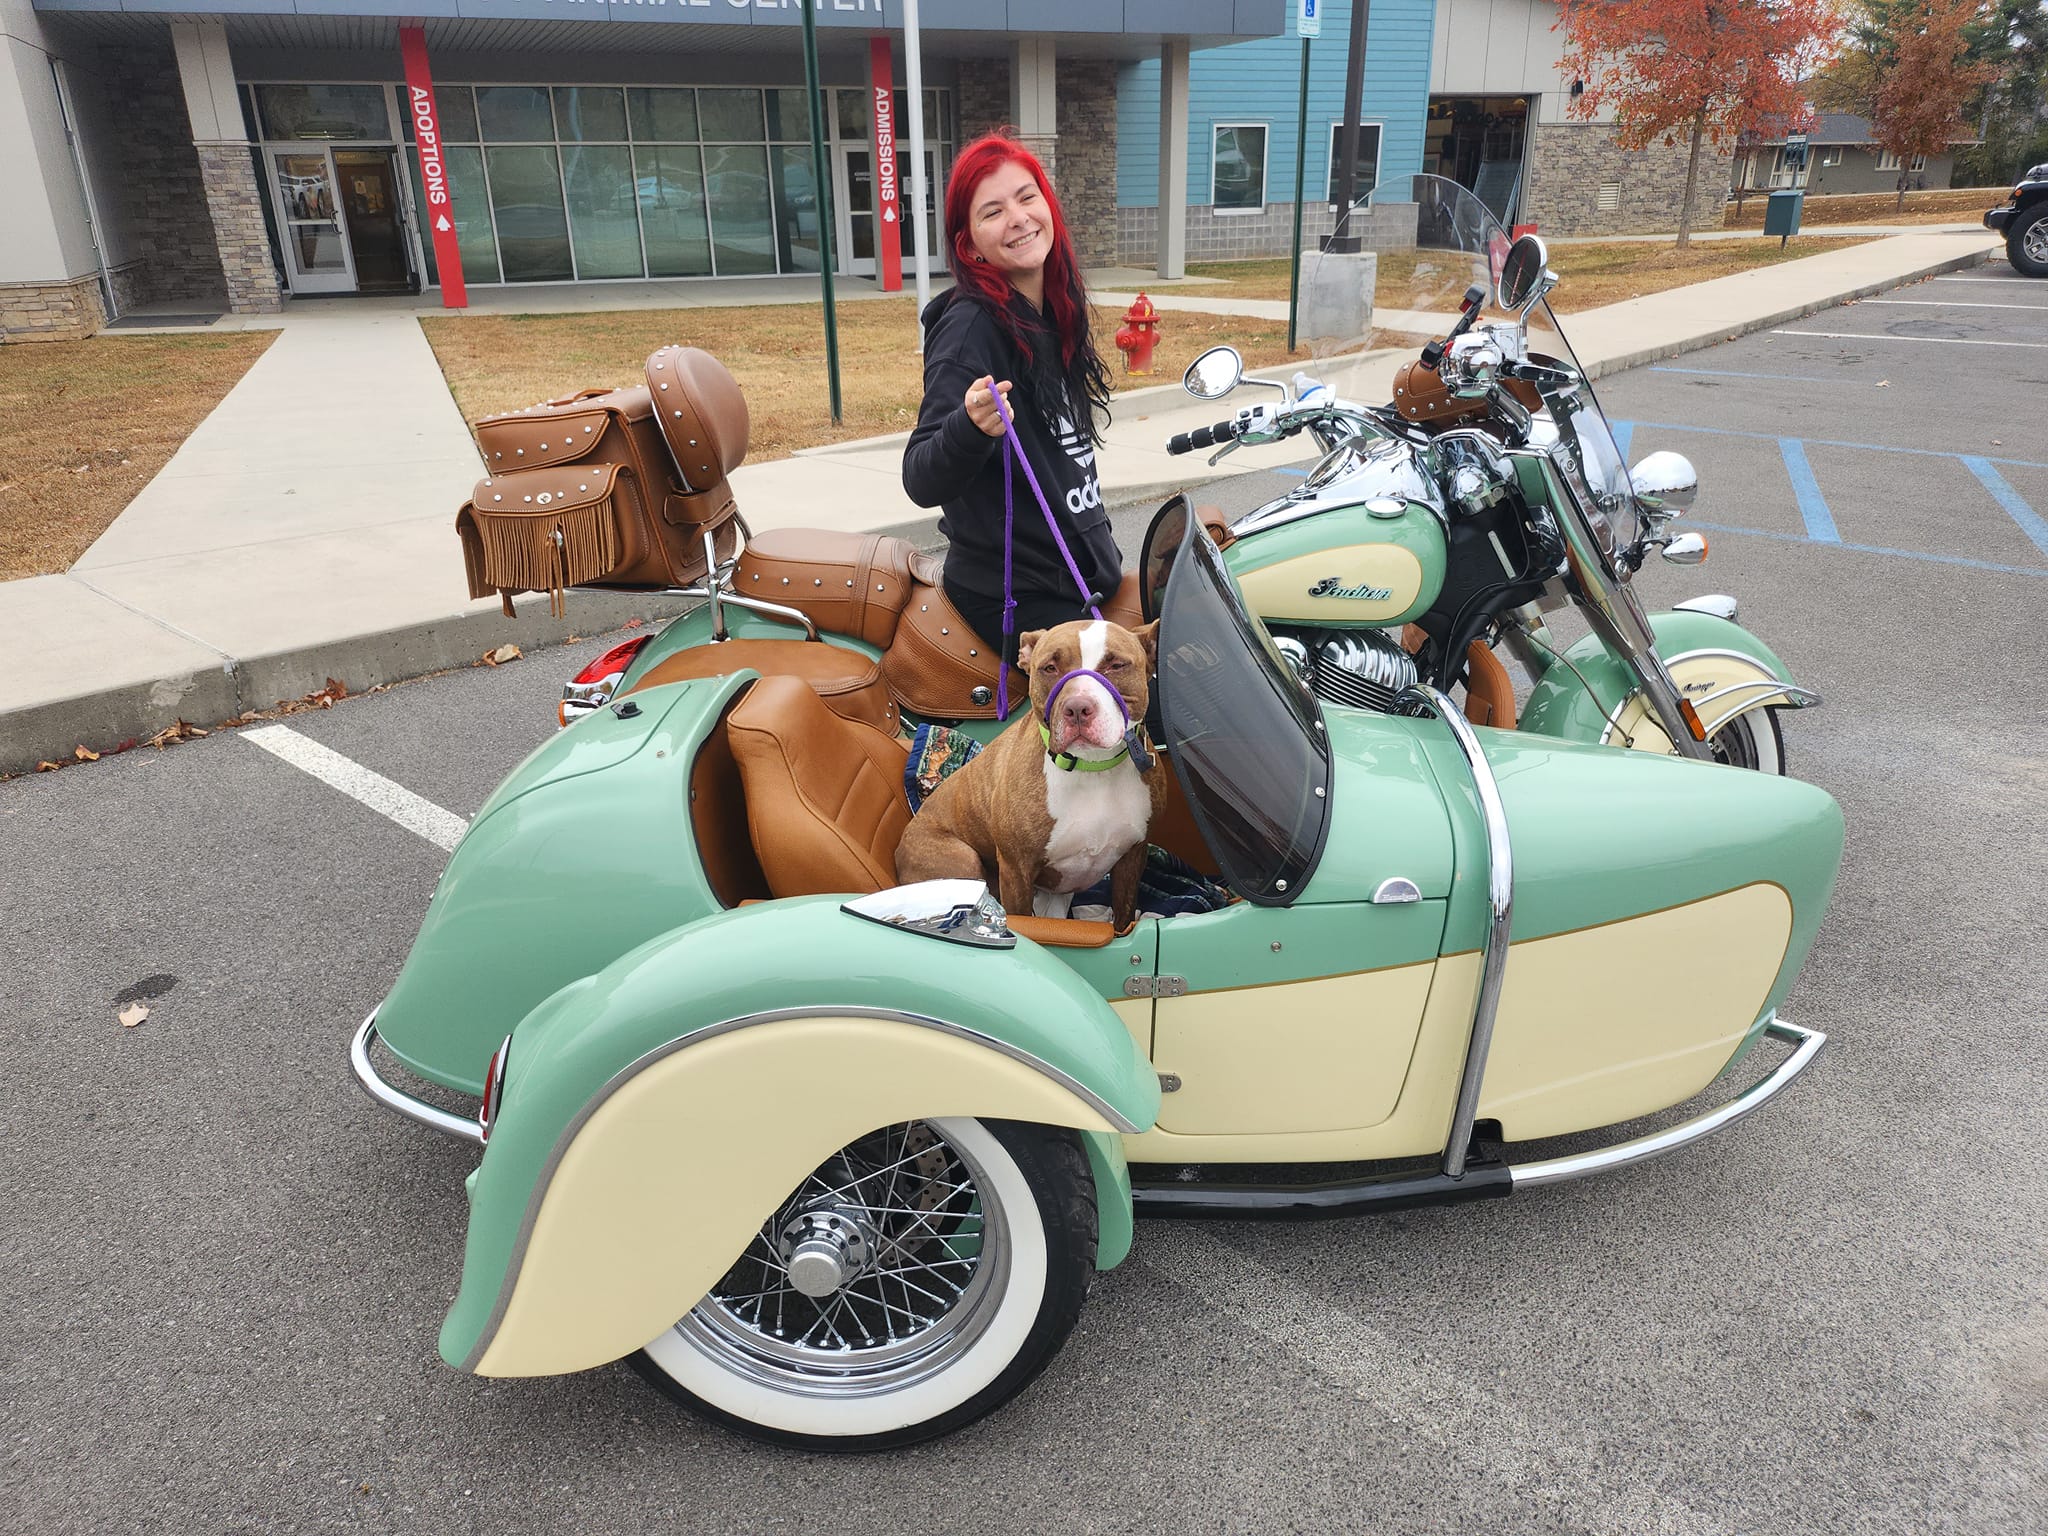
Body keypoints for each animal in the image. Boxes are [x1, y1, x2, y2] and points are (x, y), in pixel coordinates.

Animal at [897, 618, 1171, 925]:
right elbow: (1023, 920)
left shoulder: (1132, 857)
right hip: (961, 861)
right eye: (1049, 667)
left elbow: (1123, 919)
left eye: (1116, 665)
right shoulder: (1016, 869)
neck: (1091, 767)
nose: (1077, 708)